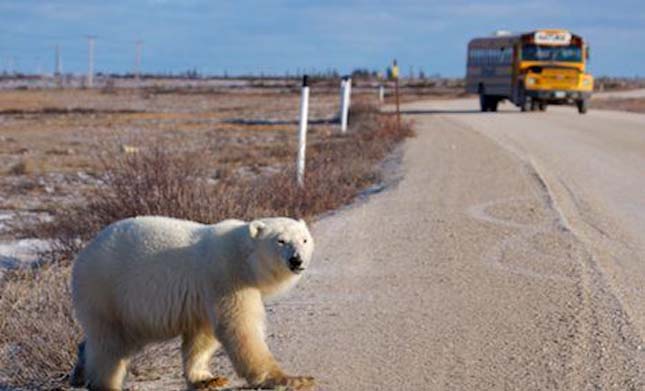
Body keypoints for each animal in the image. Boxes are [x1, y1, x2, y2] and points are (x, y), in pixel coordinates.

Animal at [68, 216, 314, 390]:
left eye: (304, 239)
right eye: (281, 240)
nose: (297, 260)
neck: (244, 257)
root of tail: (82, 255)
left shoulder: (206, 294)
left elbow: (202, 336)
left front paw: (206, 379)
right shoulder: (227, 276)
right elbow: (240, 327)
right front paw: (292, 379)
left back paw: (79, 371)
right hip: (106, 291)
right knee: (110, 343)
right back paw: (104, 383)